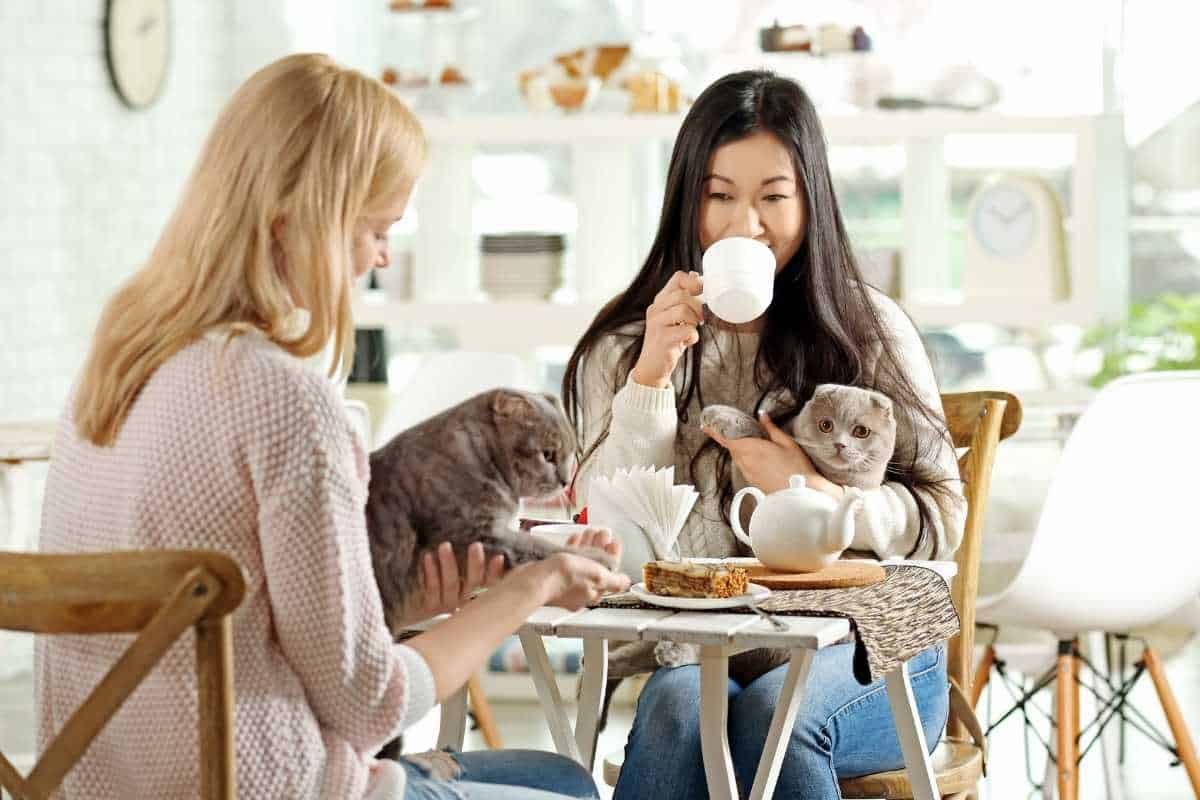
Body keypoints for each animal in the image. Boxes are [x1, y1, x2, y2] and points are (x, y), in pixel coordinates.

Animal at [364, 386, 614, 633]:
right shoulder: (474, 533)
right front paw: (595, 557)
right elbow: (540, 546)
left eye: (569, 454)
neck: (479, 459)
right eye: (547, 454)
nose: (565, 481)